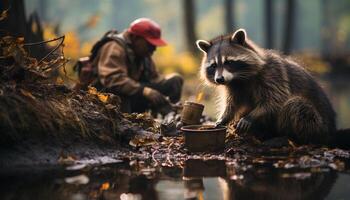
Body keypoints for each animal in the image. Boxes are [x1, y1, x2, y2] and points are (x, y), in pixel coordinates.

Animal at [196, 28, 348, 146]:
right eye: (213, 66)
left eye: (228, 62)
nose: (219, 79)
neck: (239, 78)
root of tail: (331, 132)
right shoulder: (233, 87)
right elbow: (232, 104)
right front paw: (224, 117)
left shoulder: (273, 74)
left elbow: (275, 100)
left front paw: (251, 116)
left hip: (319, 125)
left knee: (296, 105)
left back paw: (294, 138)